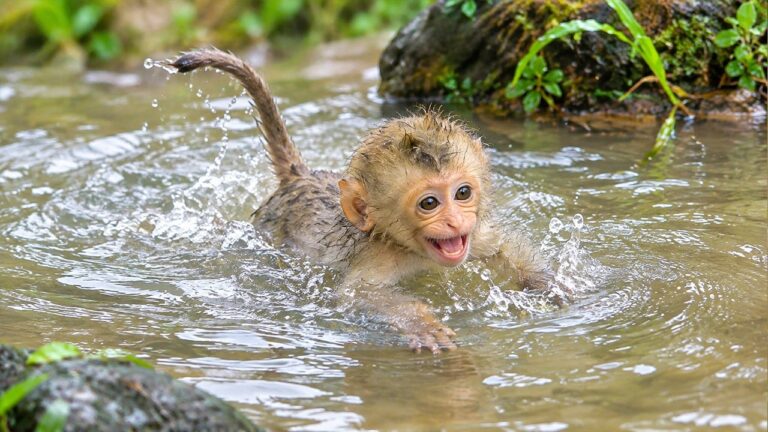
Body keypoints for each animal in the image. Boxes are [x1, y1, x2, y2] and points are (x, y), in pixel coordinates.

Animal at [166, 49, 555, 354]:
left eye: (462, 193)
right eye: (429, 203)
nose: (456, 222)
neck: (412, 249)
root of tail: (299, 176)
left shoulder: (477, 237)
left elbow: (503, 249)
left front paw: (549, 285)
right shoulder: (379, 257)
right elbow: (359, 293)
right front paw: (422, 323)